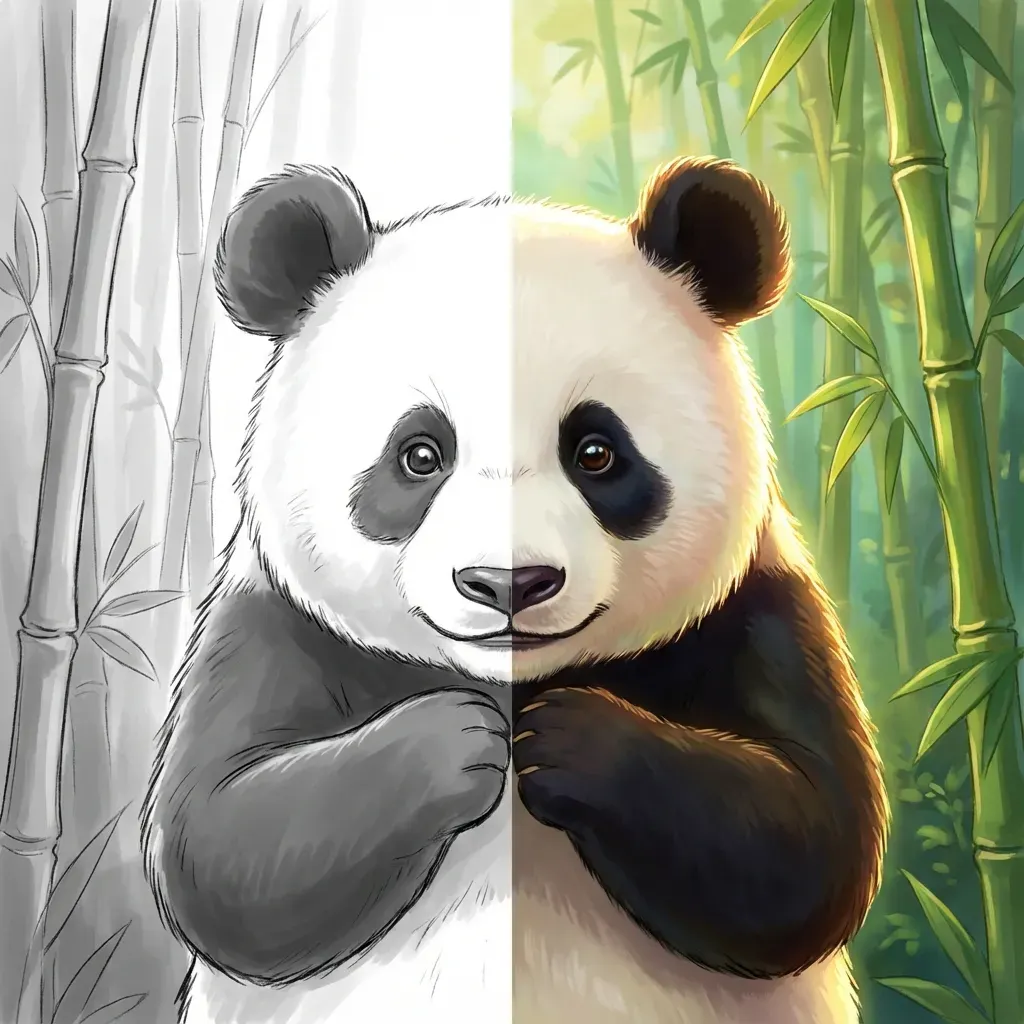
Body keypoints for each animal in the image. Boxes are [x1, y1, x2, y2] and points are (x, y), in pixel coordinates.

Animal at [140, 156, 888, 1024]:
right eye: (419, 455)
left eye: (596, 451)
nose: (508, 582)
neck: (511, 677)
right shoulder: (279, 622)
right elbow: (223, 846)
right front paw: (456, 742)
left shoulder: (755, 610)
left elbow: (810, 844)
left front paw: (569, 739)